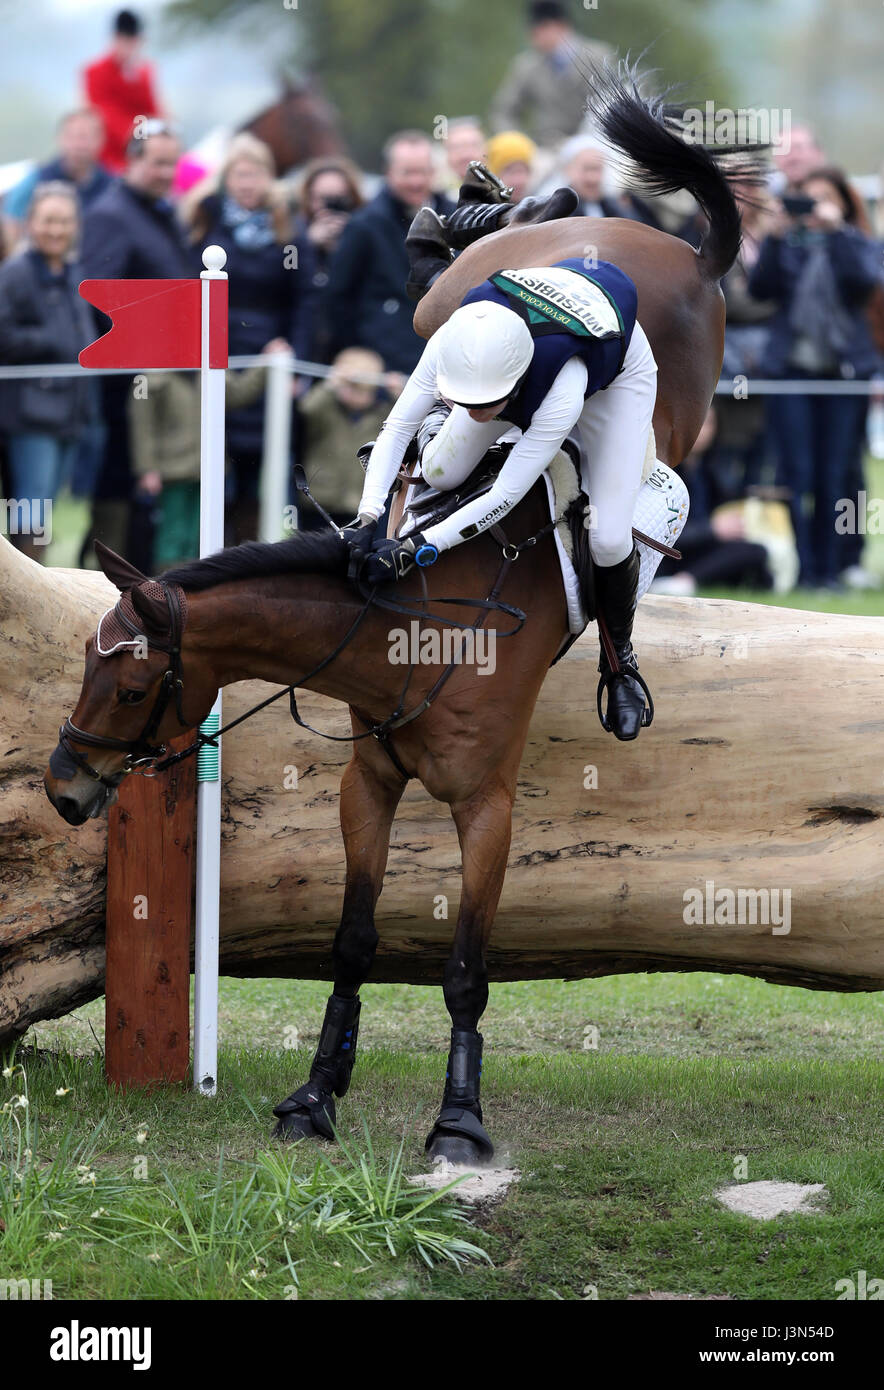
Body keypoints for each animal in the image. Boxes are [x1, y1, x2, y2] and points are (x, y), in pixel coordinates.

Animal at [44, 70, 761, 1167]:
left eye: (126, 684)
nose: (62, 788)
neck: (404, 638)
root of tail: (675, 251)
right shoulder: (369, 783)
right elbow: (353, 939)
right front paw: (315, 1093)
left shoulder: (486, 807)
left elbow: (465, 966)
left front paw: (459, 1119)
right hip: (452, 293)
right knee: (457, 264)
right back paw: (489, 203)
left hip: (650, 397)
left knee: (616, 530)